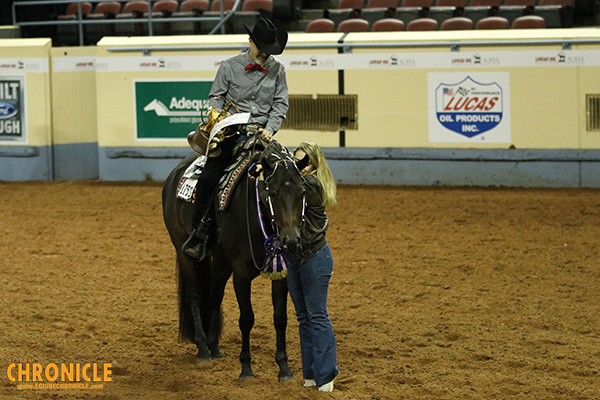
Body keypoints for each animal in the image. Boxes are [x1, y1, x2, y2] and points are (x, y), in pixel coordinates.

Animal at [162, 141, 304, 382]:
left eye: (302, 192)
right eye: (273, 193)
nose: (291, 240)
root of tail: (174, 174)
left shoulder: (281, 271)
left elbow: (280, 317)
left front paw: (284, 368)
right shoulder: (241, 271)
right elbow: (246, 318)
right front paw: (246, 368)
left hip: (221, 261)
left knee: (214, 296)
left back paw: (214, 347)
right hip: (183, 251)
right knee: (194, 297)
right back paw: (203, 350)